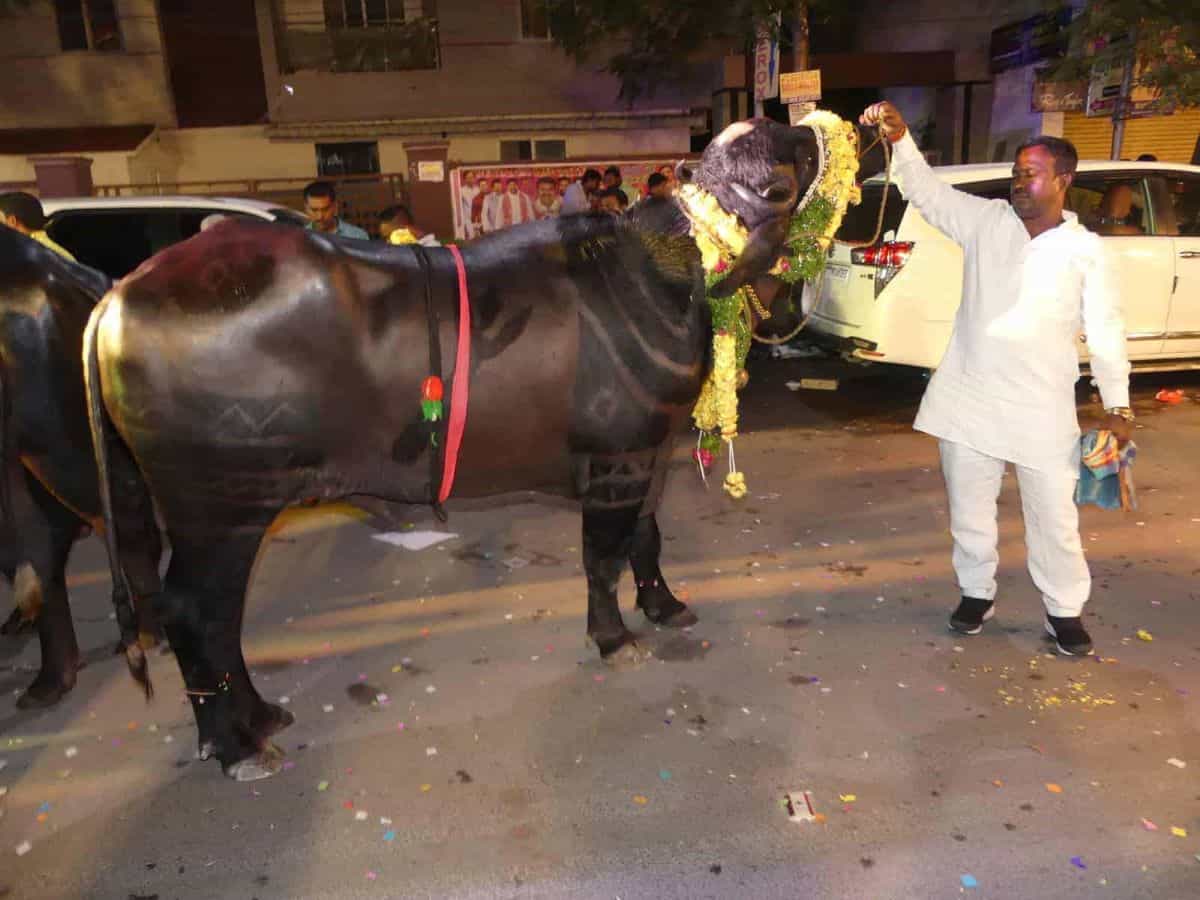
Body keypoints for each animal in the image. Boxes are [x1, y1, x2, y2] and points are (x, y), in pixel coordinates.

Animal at [87, 118, 825, 782]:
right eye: (787, 169)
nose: (813, 130)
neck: (662, 271)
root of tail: (120, 297)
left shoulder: (651, 452)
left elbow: (647, 539)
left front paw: (664, 605)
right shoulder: (616, 462)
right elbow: (602, 557)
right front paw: (614, 637)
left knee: (215, 620)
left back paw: (258, 717)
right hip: (221, 510)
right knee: (196, 614)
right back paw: (234, 743)